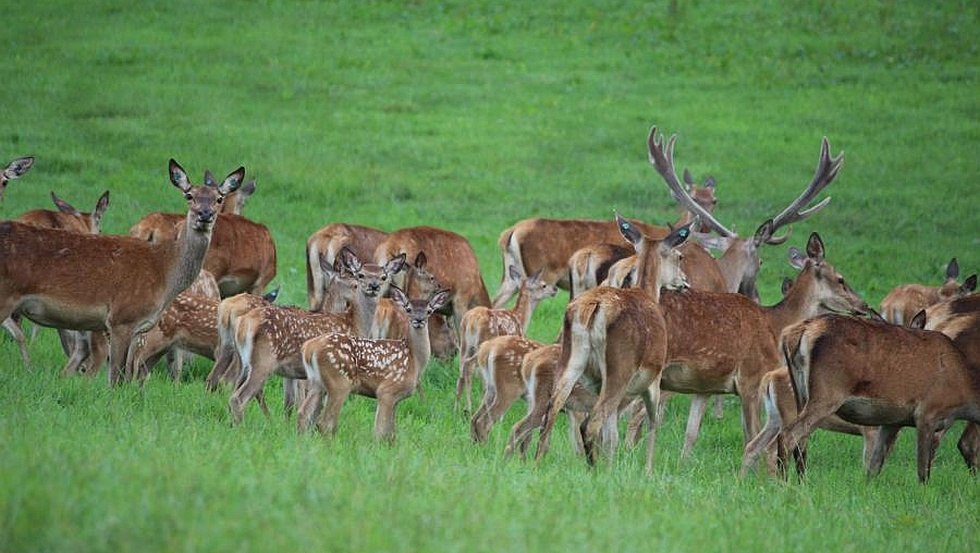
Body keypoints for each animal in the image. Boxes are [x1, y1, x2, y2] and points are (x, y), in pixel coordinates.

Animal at [0, 160, 245, 384]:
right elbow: (115, 379)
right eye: (189, 195)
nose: (205, 214)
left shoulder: (137, 328)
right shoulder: (122, 317)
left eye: (219, 198)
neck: (165, 272)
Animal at [298, 286, 452, 442]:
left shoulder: (396, 398)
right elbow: (380, 431)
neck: (414, 360)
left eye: (429, 310)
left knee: (304, 413)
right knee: (325, 422)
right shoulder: (386, 390)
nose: (419, 320)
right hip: (339, 382)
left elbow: (391, 433)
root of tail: (309, 347)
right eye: (408, 309)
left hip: (317, 382)